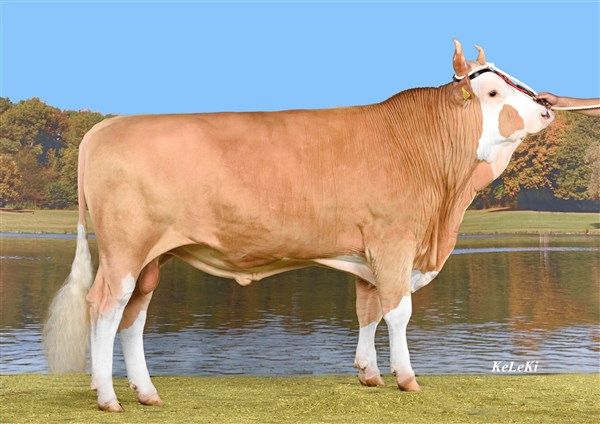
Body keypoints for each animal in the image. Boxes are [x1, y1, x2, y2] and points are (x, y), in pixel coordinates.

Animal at [43, 40, 554, 412]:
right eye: (493, 93)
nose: (548, 106)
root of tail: (106, 127)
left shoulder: (368, 251)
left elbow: (367, 311)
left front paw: (369, 373)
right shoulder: (393, 240)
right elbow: (397, 311)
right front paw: (407, 379)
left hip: (153, 256)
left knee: (134, 316)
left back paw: (146, 393)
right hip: (124, 250)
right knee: (105, 308)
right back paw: (107, 397)